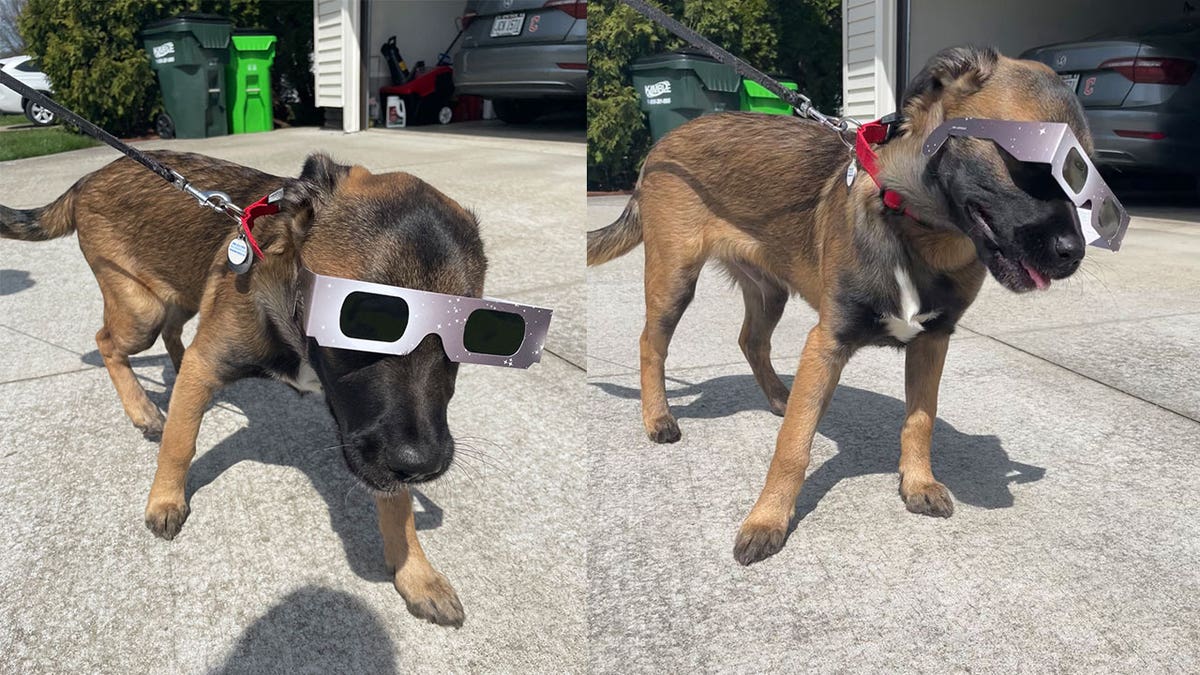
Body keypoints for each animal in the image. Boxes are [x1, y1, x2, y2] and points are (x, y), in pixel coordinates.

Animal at [4, 149, 484, 624]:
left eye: (474, 335)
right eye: (365, 321)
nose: (423, 466)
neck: (294, 309)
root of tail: (89, 177)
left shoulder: (377, 435)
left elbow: (397, 504)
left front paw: (415, 573)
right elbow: (179, 443)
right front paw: (164, 499)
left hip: (183, 291)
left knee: (175, 334)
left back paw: (175, 372)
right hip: (142, 309)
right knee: (108, 341)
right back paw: (143, 410)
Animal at [585, 45, 1094, 562]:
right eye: (1029, 163)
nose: (1074, 254)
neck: (915, 227)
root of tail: (662, 144)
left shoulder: (932, 343)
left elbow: (920, 420)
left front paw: (918, 482)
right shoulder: (826, 343)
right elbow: (793, 445)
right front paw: (767, 518)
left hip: (770, 289)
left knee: (751, 341)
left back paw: (779, 397)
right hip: (674, 279)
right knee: (652, 343)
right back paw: (659, 417)